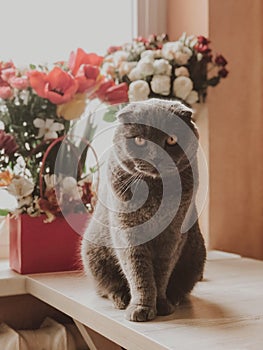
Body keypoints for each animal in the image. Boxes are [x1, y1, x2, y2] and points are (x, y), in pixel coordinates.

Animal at [81, 98, 207, 322]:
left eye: (172, 139)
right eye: (139, 140)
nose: (156, 157)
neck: (156, 191)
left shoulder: (173, 235)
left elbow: (162, 272)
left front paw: (162, 304)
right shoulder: (128, 233)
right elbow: (138, 272)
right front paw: (141, 308)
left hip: (196, 256)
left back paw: (174, 299)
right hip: (92, 252)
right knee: (107, 287)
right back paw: (121, 299)